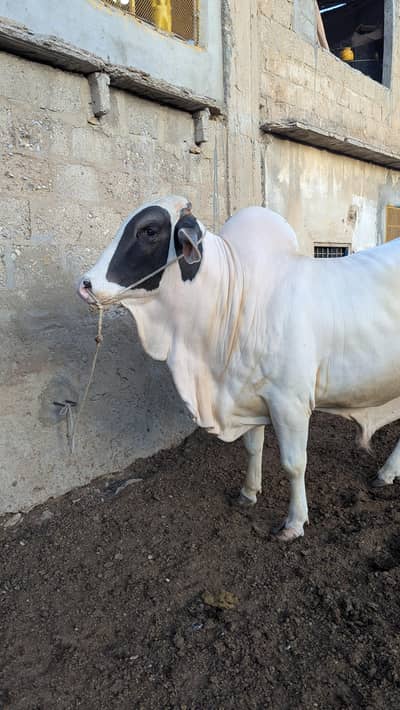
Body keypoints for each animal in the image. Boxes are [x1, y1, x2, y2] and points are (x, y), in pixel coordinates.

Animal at [78, 195, 400, 540]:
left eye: (149, 230)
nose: (86, 284)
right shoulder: (247, 392)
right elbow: (253, 447)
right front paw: (248, 493)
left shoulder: (290, 402)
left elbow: (293, 463)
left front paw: (294, 522)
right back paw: (385, 474)